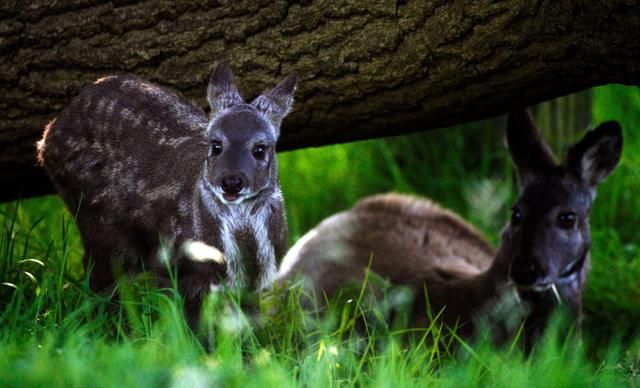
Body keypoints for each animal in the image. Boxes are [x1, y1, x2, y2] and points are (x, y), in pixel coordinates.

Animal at [38, 62, 298, 322]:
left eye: (260, 148)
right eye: (216, 145)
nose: (232, 182)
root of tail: (46, 138)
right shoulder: (182, 270)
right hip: (94, 214)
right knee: (102, 275)